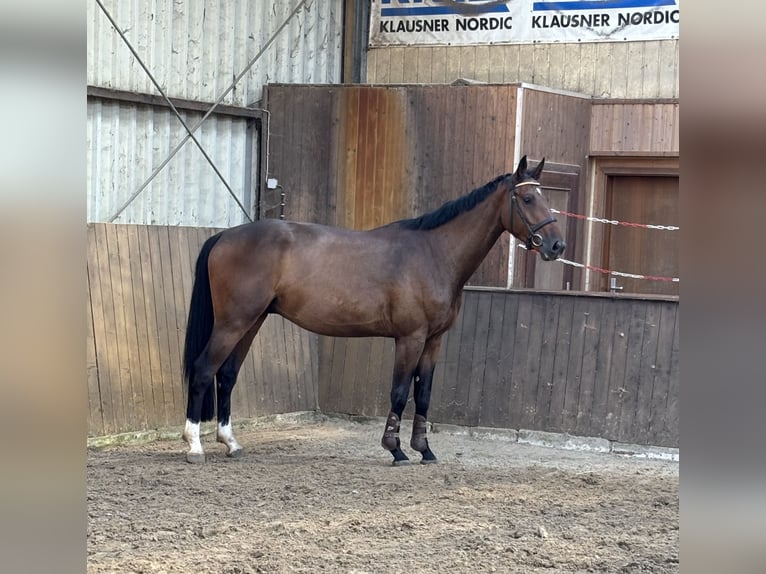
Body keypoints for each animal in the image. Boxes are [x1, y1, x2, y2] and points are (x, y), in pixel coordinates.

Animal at [182, 156, 565, 464]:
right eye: (528, 198)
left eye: (547, 198)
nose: (557, 245)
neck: (433, 254)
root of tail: (225, 236)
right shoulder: (410, 338)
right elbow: (399, 392)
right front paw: (395, 450)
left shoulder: (434, 341)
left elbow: (423, 394)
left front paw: (425, 450)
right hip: (233, 322)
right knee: (203, 370)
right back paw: (194, 447)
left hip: (251, 321)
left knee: (227, 375)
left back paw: (231, 444)